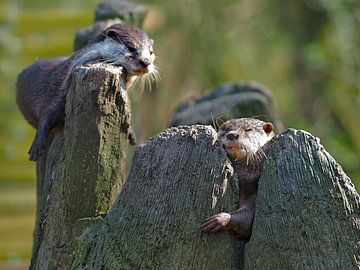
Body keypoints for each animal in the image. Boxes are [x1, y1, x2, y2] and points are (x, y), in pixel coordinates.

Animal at [16, 23, 158, 160]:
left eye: (151, 52)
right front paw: (37, 145)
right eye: (131, 48)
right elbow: (46, 115)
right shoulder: (56, 93)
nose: (146, 62)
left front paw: (131, 131)